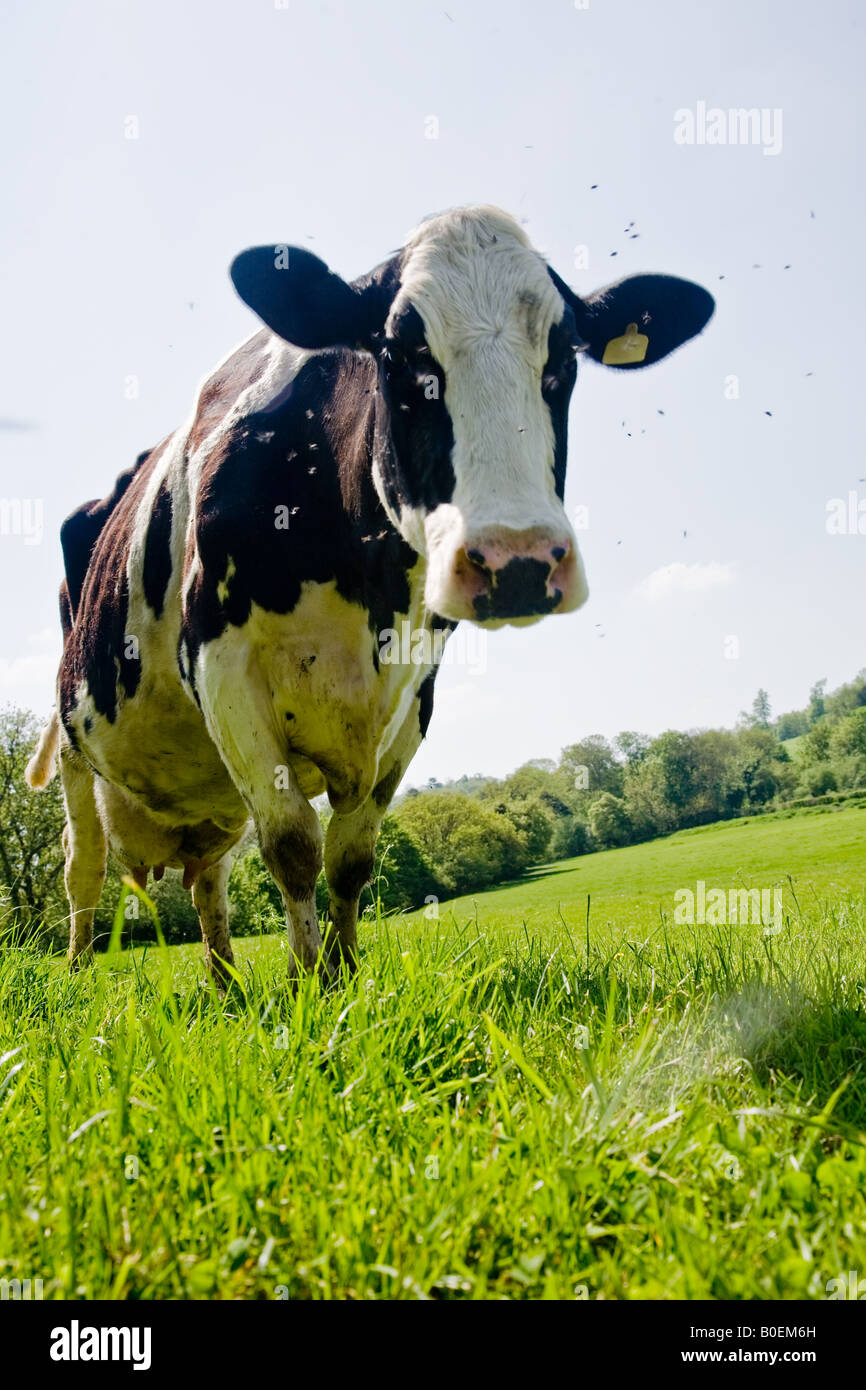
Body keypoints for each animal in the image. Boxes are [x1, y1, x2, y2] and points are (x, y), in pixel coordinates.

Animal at [25, 205, 714, 987]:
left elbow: (352, 858)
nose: (518, 561)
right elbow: (294, 845)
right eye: (396, 355)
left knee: (210, 879)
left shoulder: (413, 698)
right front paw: (306, 987)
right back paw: (82, 979)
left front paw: (346, 978)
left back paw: (228, 985)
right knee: (83, 871)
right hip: (75, 751)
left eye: (563, 359)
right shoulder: (223, 671)